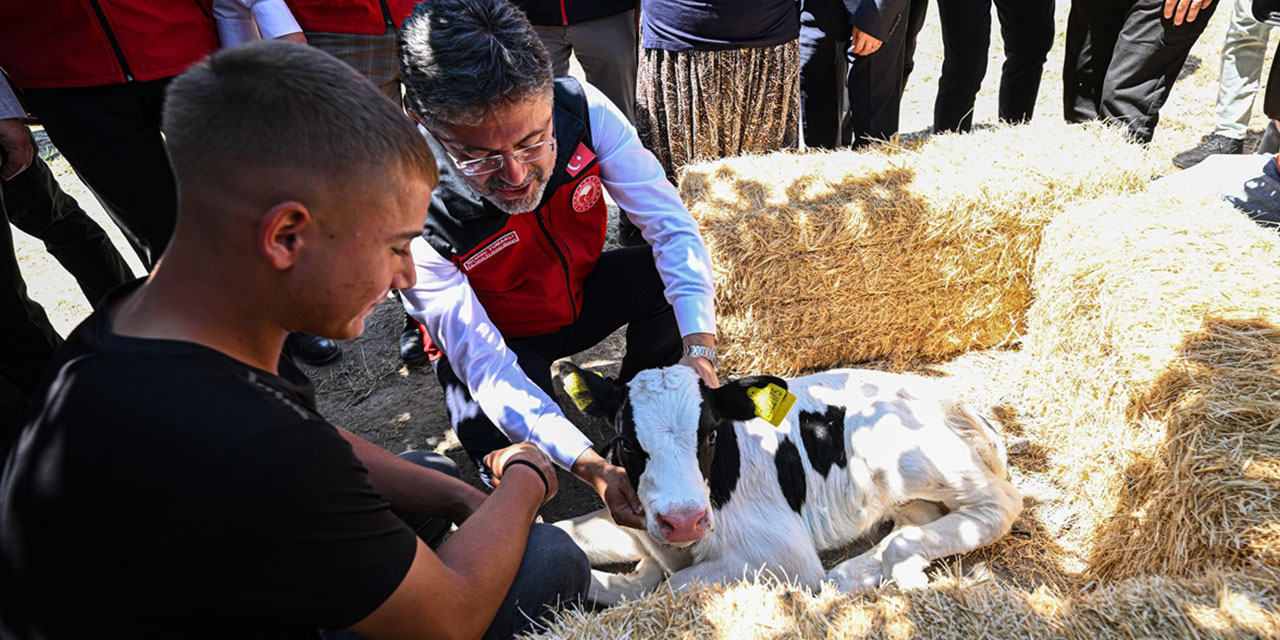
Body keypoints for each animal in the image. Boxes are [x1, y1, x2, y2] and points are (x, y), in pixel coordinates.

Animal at [555, 363, 1024, 601]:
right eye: (626, 443)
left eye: (710, 434)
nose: (684, 520)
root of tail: (953, 401)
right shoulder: (637, 524)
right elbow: (569, 538)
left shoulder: (783, 555)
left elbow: (670, 588)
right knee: (917, 519)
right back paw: (860, 570)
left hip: (903, 456)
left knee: (1000, 503)